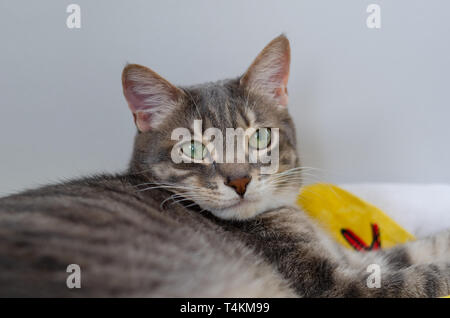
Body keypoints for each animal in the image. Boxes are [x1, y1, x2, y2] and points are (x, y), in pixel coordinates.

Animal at [0, 36, 450, 296]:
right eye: (193, 148)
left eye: (260, 137)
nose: (239, 180)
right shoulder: (334, 284)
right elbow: (424, 277)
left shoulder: (354, 259)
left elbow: (416, 249)